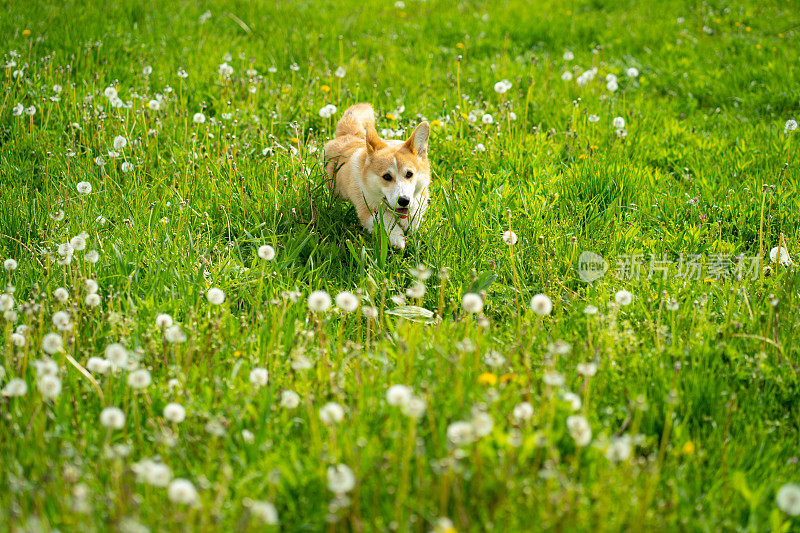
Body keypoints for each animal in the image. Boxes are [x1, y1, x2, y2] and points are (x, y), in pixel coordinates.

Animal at [324, 103, 432, 249]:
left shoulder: (420, 196)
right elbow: (386, 221)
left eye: (409, 174)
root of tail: (348, 134)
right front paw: (397, 240)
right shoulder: (366, 209)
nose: (404, 201)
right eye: (386, 177)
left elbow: (415, 212)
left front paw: (409, 224)